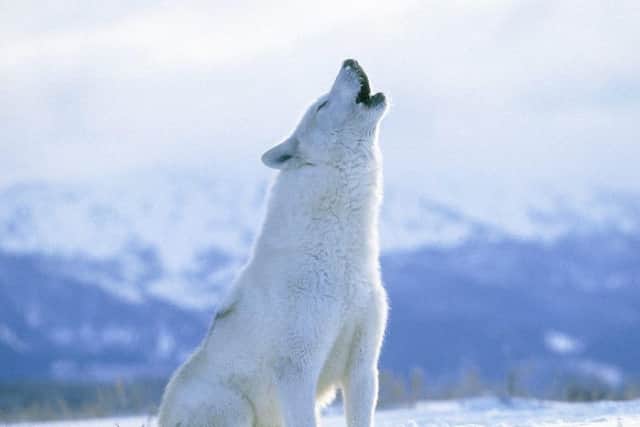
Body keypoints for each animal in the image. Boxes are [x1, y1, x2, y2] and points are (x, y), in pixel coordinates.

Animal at [158, 59, 389, 427]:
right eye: (322, 105)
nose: (349, 61)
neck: (339, 258)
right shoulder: (297, 372)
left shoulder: (363, 367)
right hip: (235, 407)